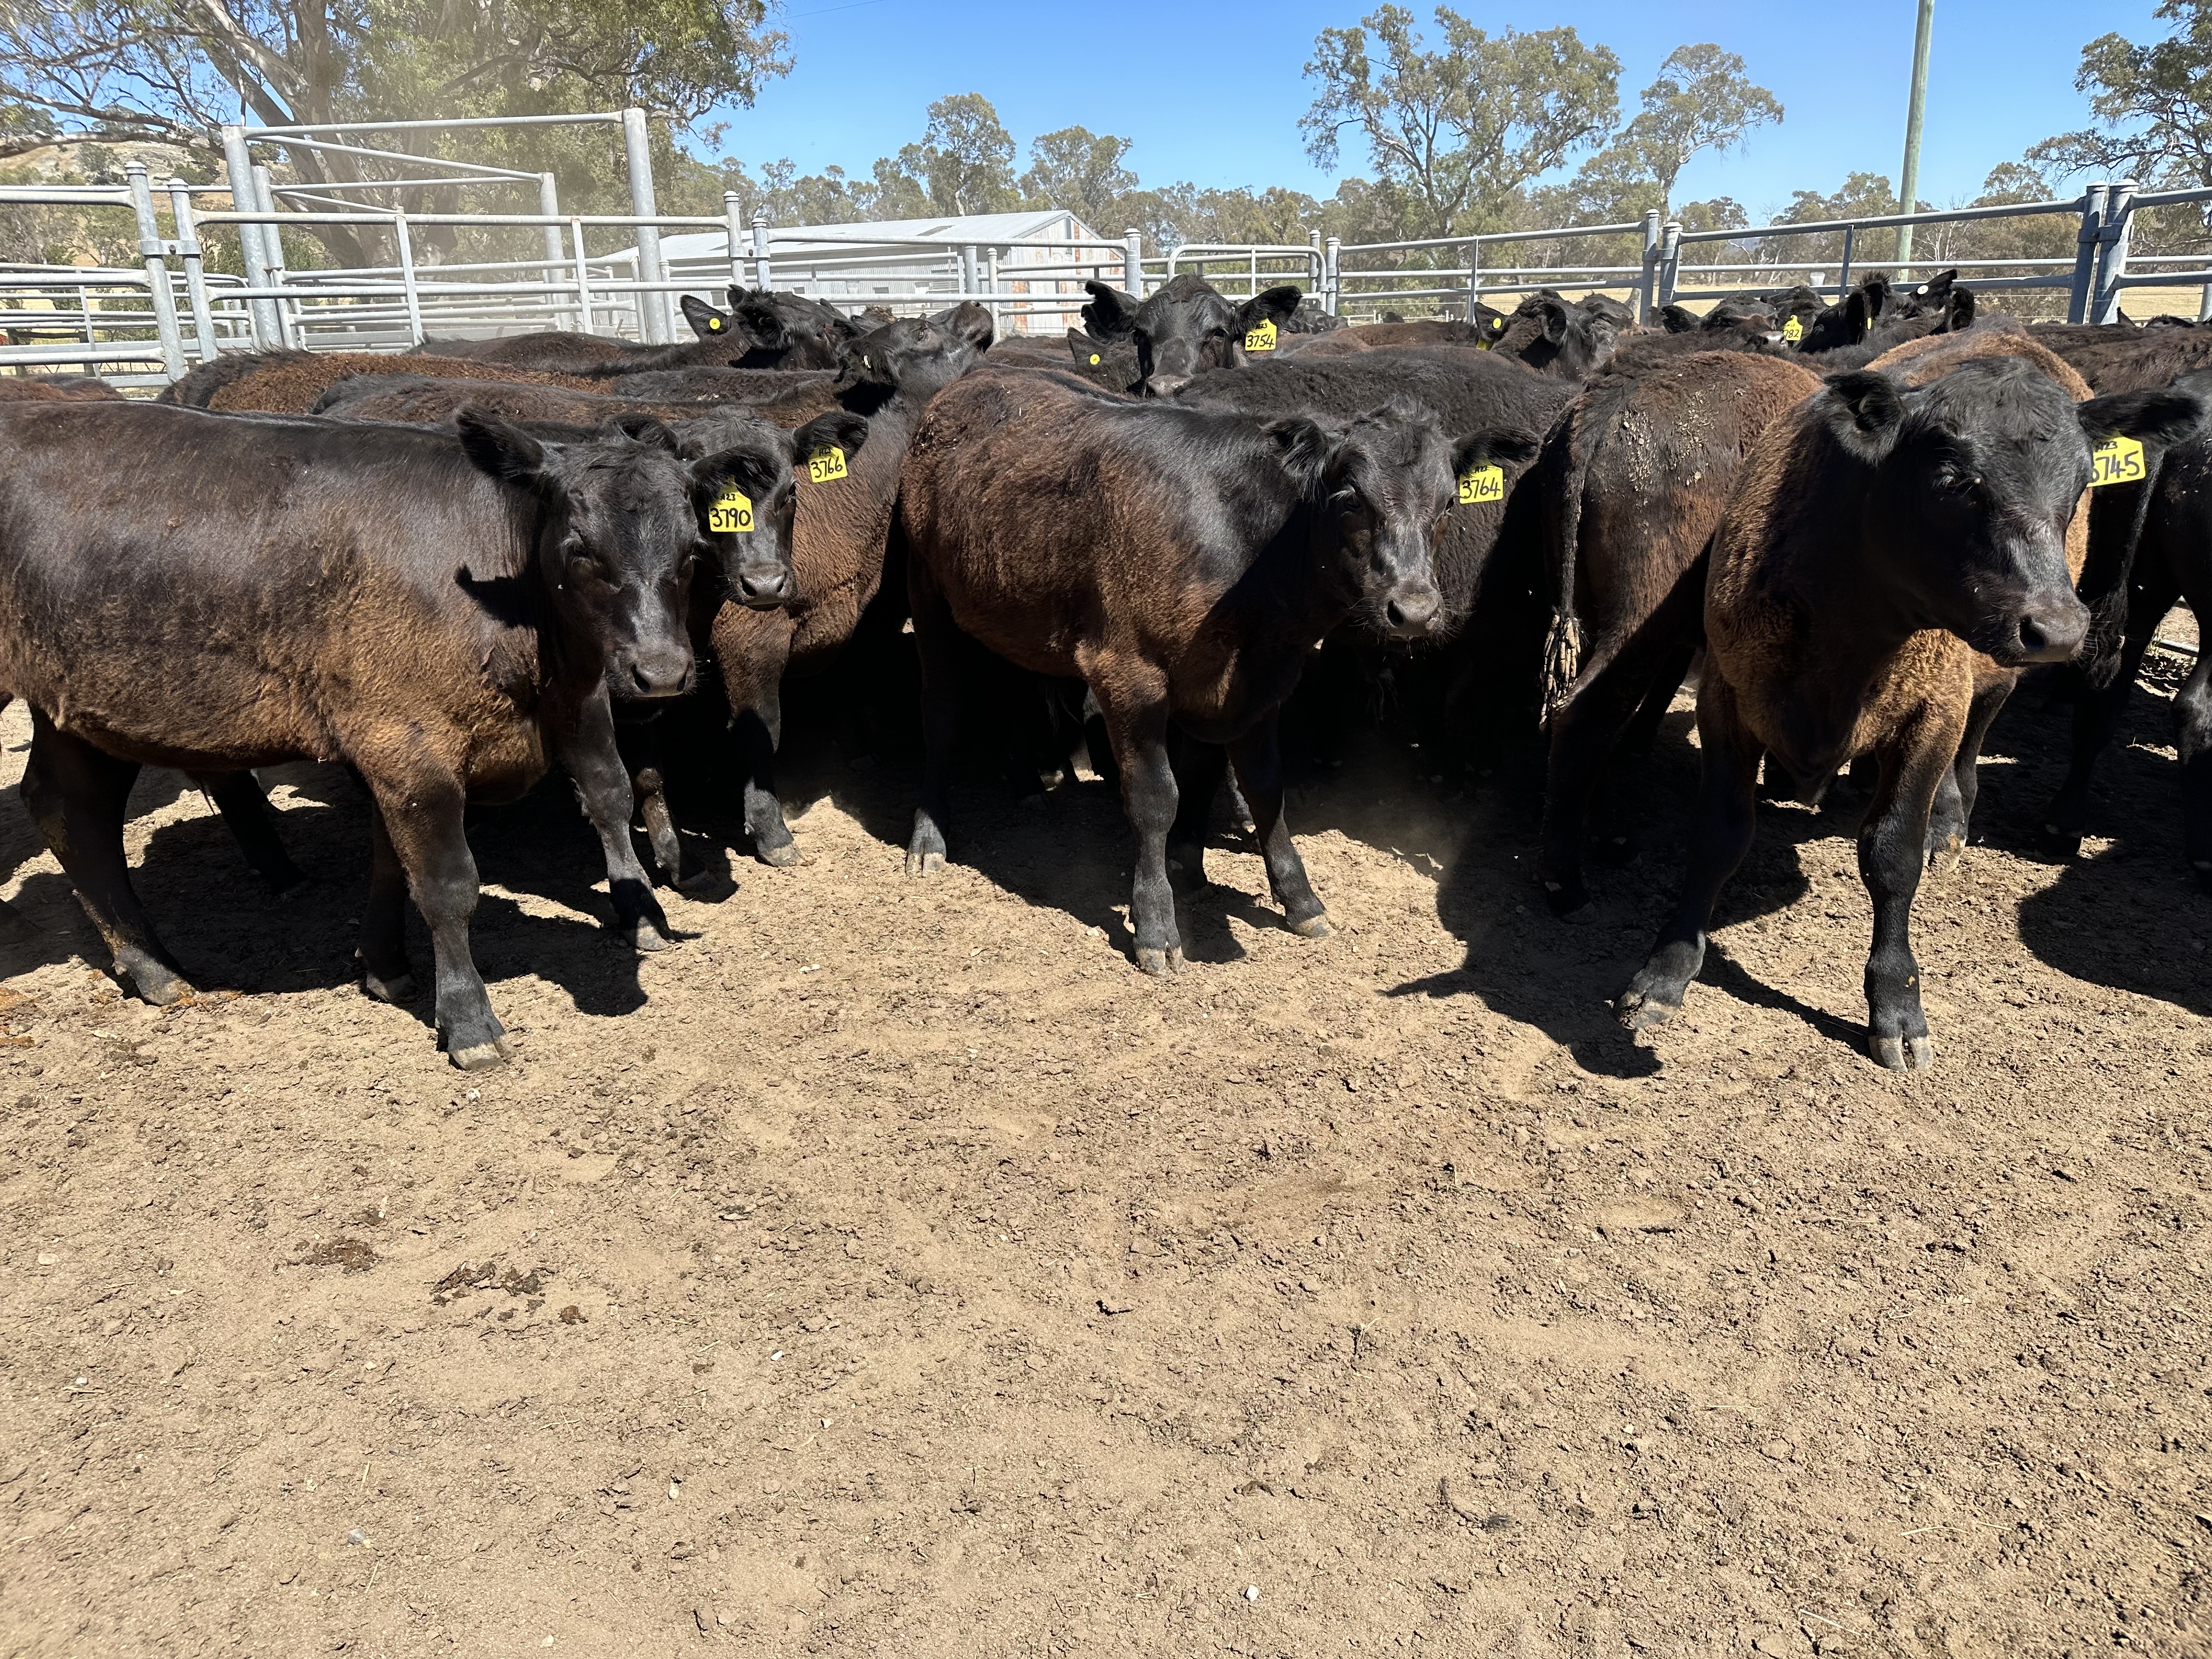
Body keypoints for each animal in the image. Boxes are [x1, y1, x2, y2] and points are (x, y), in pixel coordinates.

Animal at [0, 402, 776, 1066]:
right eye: (580, 549)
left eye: (694, 547)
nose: (662, 670)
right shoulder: (406, 741)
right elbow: (445, 882)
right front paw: (468, 1018)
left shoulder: (543, 708)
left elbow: (409, 856)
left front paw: (385, 967)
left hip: (85, 702)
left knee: (68, 806)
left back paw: (153, 965)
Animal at [894, 369, 1525, 974]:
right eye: (1350, 497)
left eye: (1449, 503)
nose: (1414, 612)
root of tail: (972, 380)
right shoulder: (1128, 675)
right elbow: (1157, 796)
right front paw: (1156, 925)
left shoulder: (1255, 683)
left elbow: (1260, 787)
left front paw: (1294, 897)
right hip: (927, 595)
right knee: (939, 710)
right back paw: (928, 836)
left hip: (1005, 605)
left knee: (1009, 692)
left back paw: (1028, 785)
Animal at [1615, 343, 2202, 1068]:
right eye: (1953, 481)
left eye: (2080, 484)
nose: (2060, 629)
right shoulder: (1729, 695)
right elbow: (1720, 834)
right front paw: (1664, 974)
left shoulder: (1932, 712)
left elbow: (1892, 855)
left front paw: (1897, 1005)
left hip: (1983, 677)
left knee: (1979, 729)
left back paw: (1950, 819)